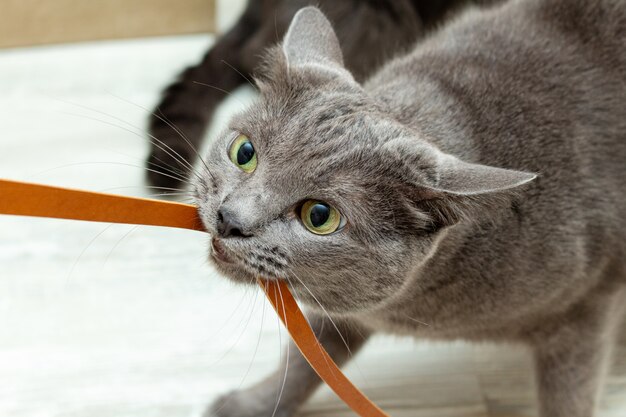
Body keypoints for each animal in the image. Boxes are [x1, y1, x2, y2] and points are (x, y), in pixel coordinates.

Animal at [194, 1, 624, 414]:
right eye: (244, 152)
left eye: (319, 216)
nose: (230, 218)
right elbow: (310, 359)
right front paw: (251, 405)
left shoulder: (586, 311)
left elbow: (569, 397)